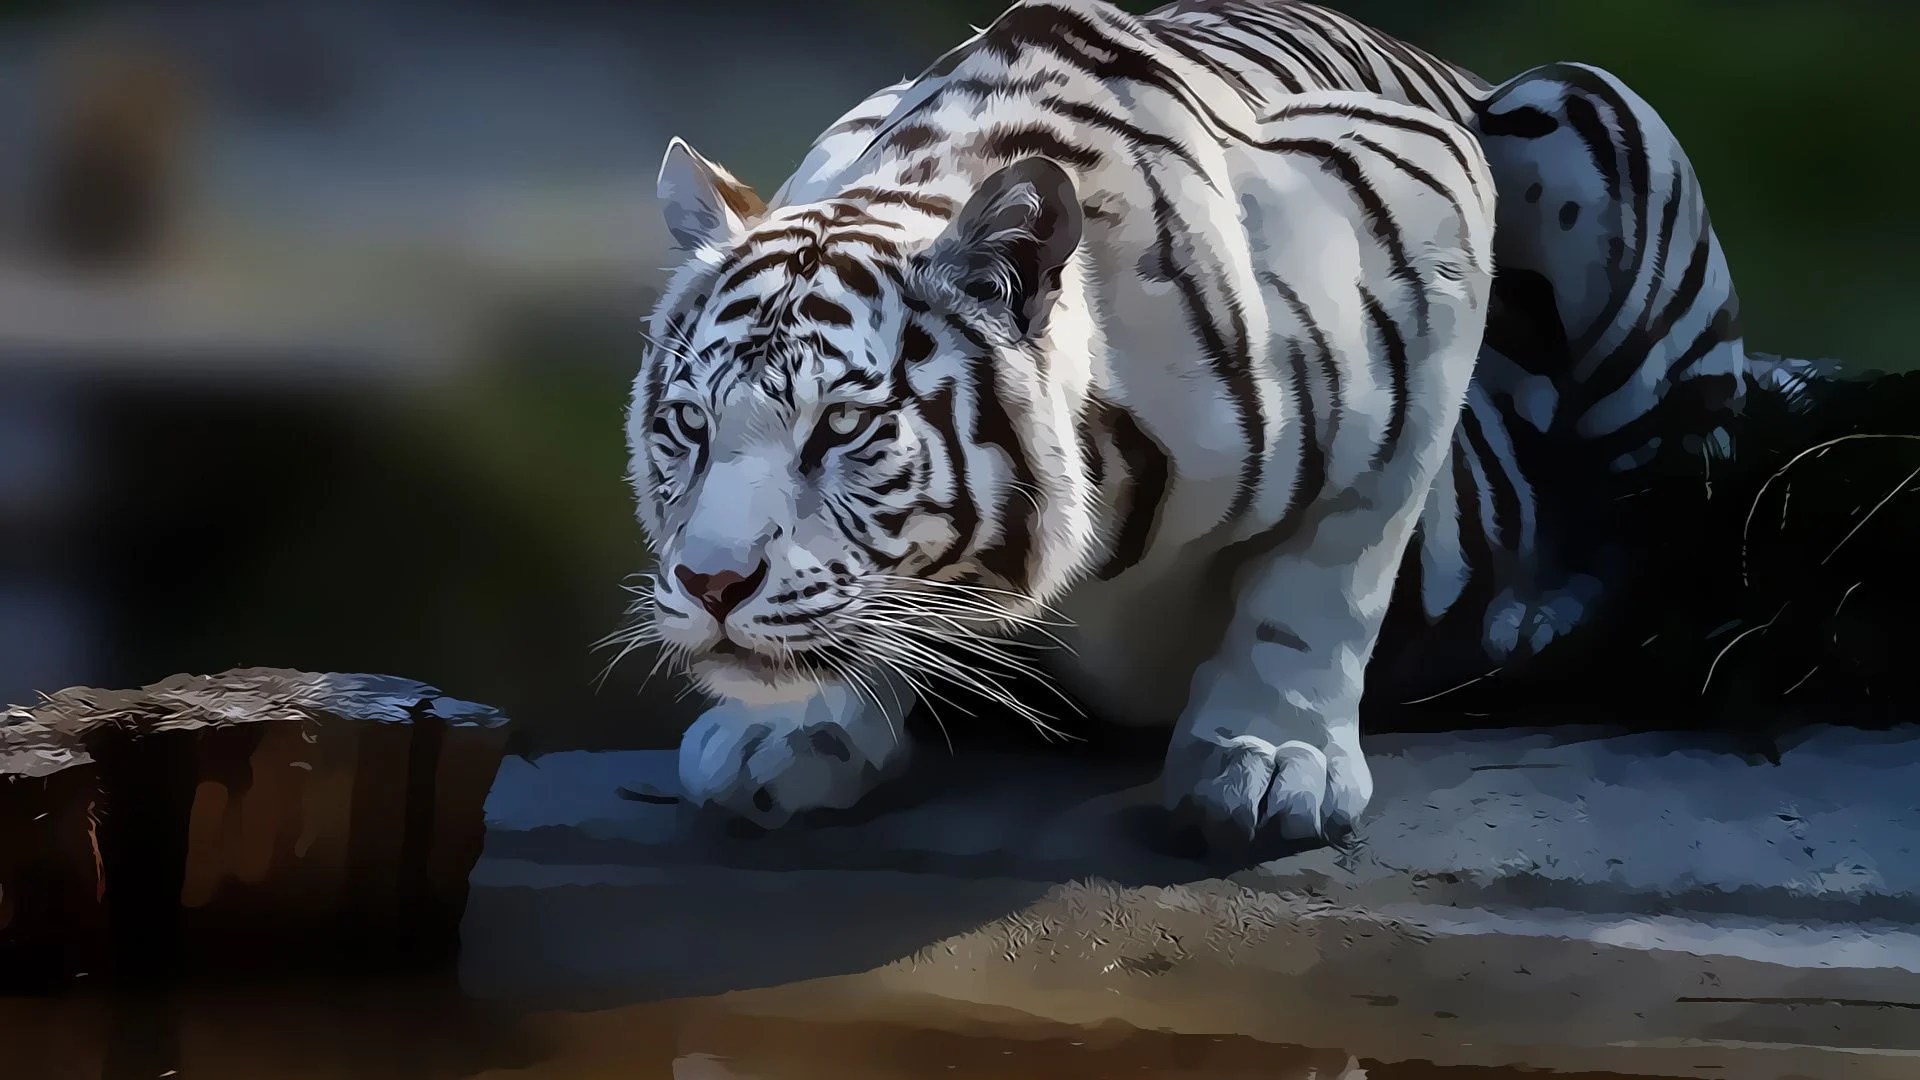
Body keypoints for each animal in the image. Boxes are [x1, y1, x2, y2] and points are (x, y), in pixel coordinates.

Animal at [623, 0, 1754, 852]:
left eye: (844, 429)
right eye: (688, 427)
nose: (711, 587)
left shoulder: (1428, 214)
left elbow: (1330, 567)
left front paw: (1274, 761)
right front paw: (792, 730)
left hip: (1588, 120)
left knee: (1665, 512)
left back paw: (1534, 617)